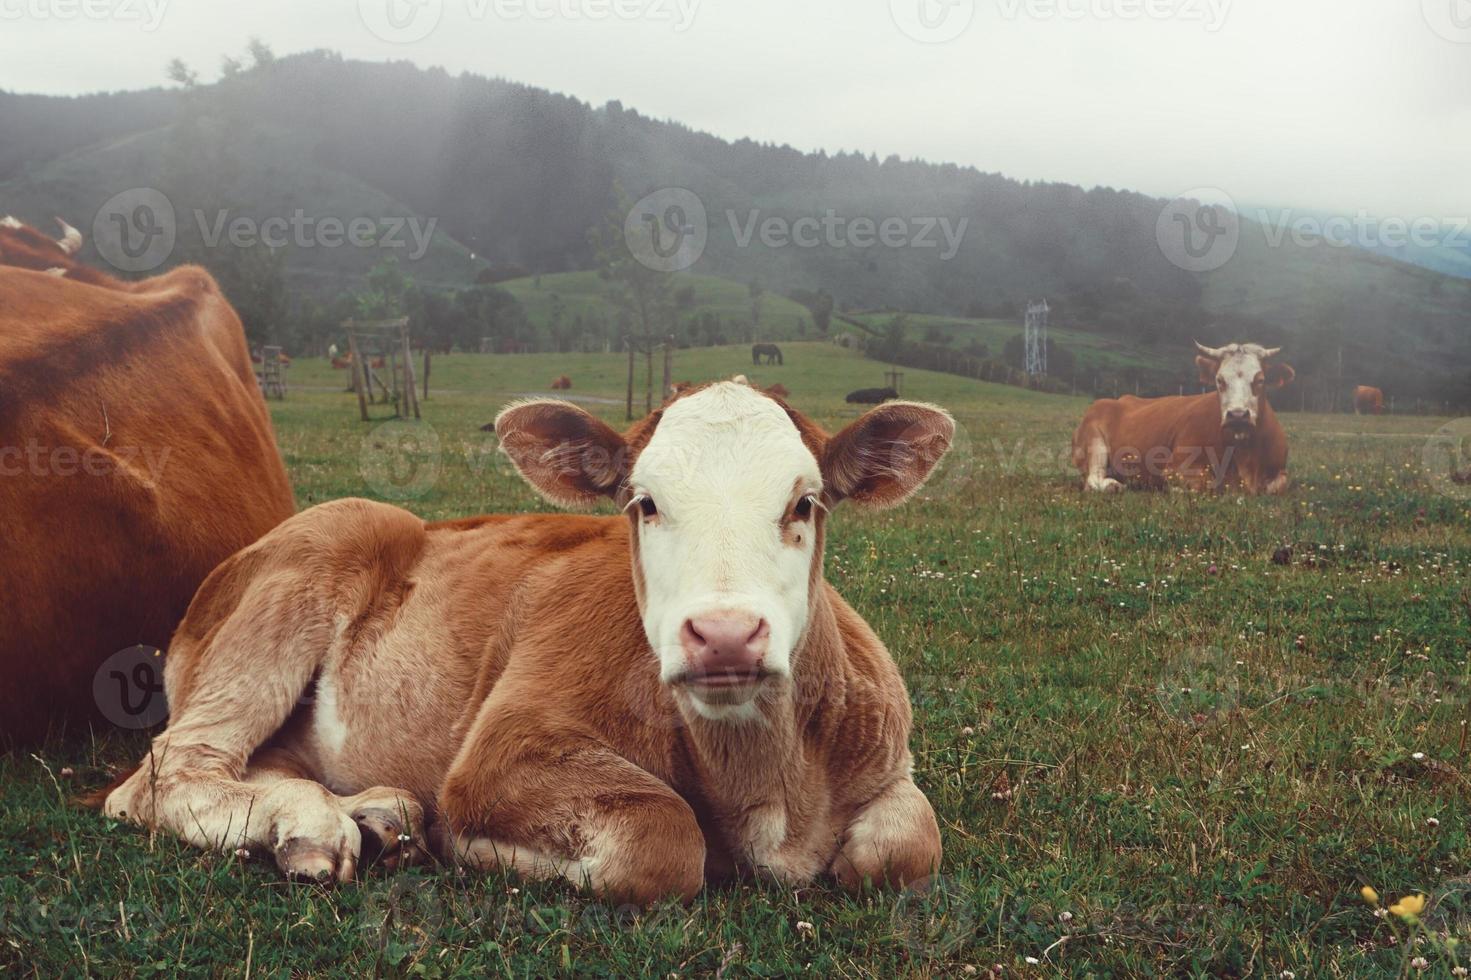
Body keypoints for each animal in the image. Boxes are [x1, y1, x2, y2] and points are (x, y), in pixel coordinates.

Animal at [103, 379, 953, 900]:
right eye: (644, 502)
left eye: (803, 503)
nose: (723, 636)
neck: (764, 789)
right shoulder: (500, 749)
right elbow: (661, 837)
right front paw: (477, 848)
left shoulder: (890, 758)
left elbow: (906, 847)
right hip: (309, 565)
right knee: (164, 773)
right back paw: (314, 826)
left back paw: (375, 817)